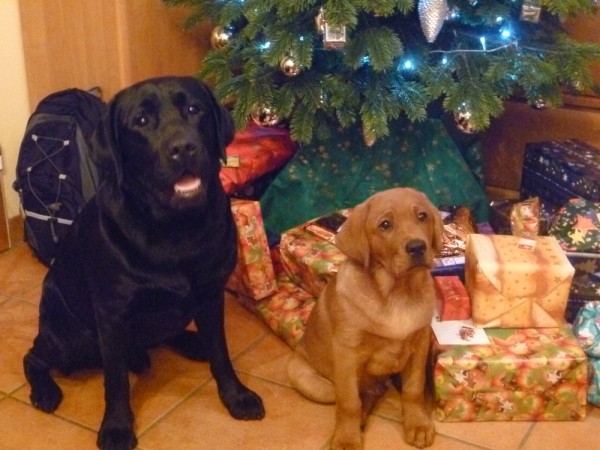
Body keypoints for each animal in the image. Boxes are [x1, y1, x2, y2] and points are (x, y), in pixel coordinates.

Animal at [23, 76, 265, 450]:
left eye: (194, 109)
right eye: (140, 120)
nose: (184, 148)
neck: (176, 228)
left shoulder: (211, 296)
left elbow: (222, 355)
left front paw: (236, 396)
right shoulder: (112, 314)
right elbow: (116, 381)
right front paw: (117, 427)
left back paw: (192, 342)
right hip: (70, 338)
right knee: (33, 356)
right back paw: (45, 391)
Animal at [287, 187, 442, 449]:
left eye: (422, 216)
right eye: (385, 225)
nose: (417, 247)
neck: (397, 293)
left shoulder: (420, 345)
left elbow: (413, 389)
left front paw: (418, 424)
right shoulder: (347, 352)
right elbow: (349, 401)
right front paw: (347, 438)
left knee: (372, 392)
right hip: (312, 382)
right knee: (355, 395)